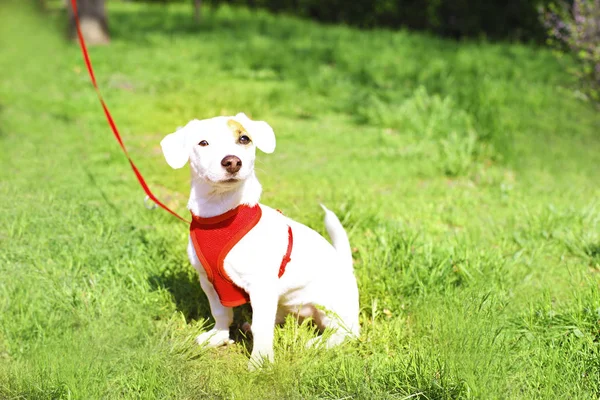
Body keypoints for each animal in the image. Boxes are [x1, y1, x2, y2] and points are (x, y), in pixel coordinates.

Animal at [158, 112, 360, 368]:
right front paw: (219, 336)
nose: (232, 162)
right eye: (203, 143)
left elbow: (262, 328)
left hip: (330, 307)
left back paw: (318, 343)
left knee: (347, 331)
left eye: (244, 138)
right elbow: (221, 313)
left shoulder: (261, 286)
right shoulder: (209, 282)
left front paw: (261, 361)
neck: (221, 214)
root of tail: (345, 264)